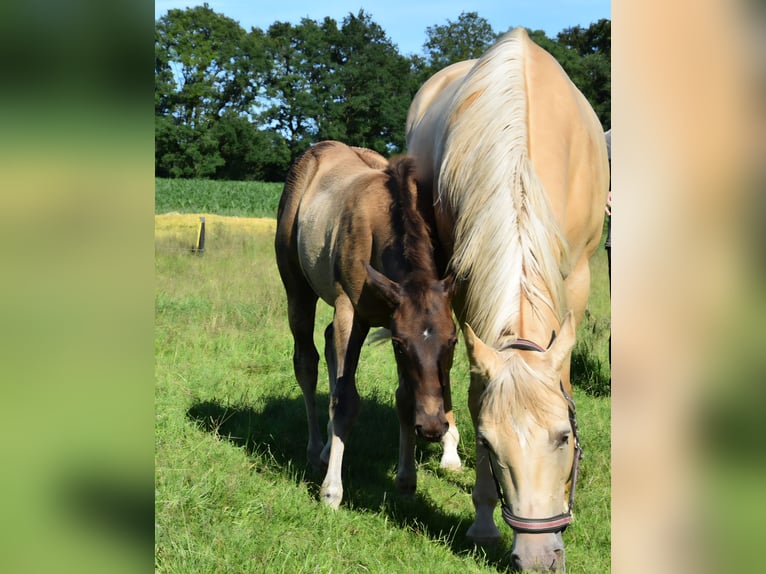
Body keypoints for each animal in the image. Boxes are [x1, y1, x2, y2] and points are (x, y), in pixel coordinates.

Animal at [274, 140, 461, 509]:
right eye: (401, 344)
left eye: (452, 342)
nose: (433, 428)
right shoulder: (350, 311)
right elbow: (345, 400)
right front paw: (332, 491)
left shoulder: (392, 317)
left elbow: (404, 397)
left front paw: (406, 478)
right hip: (297, 289)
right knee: (307, 362)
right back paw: (316, 450)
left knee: (329, 345)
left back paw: (327, 448)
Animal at [406, 29, 609, 572]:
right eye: (489, 444)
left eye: (564, 437)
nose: (537, 558)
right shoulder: (465, 284)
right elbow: (477, 391)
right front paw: (482, 520)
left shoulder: (578, 280)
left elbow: (563, 380)